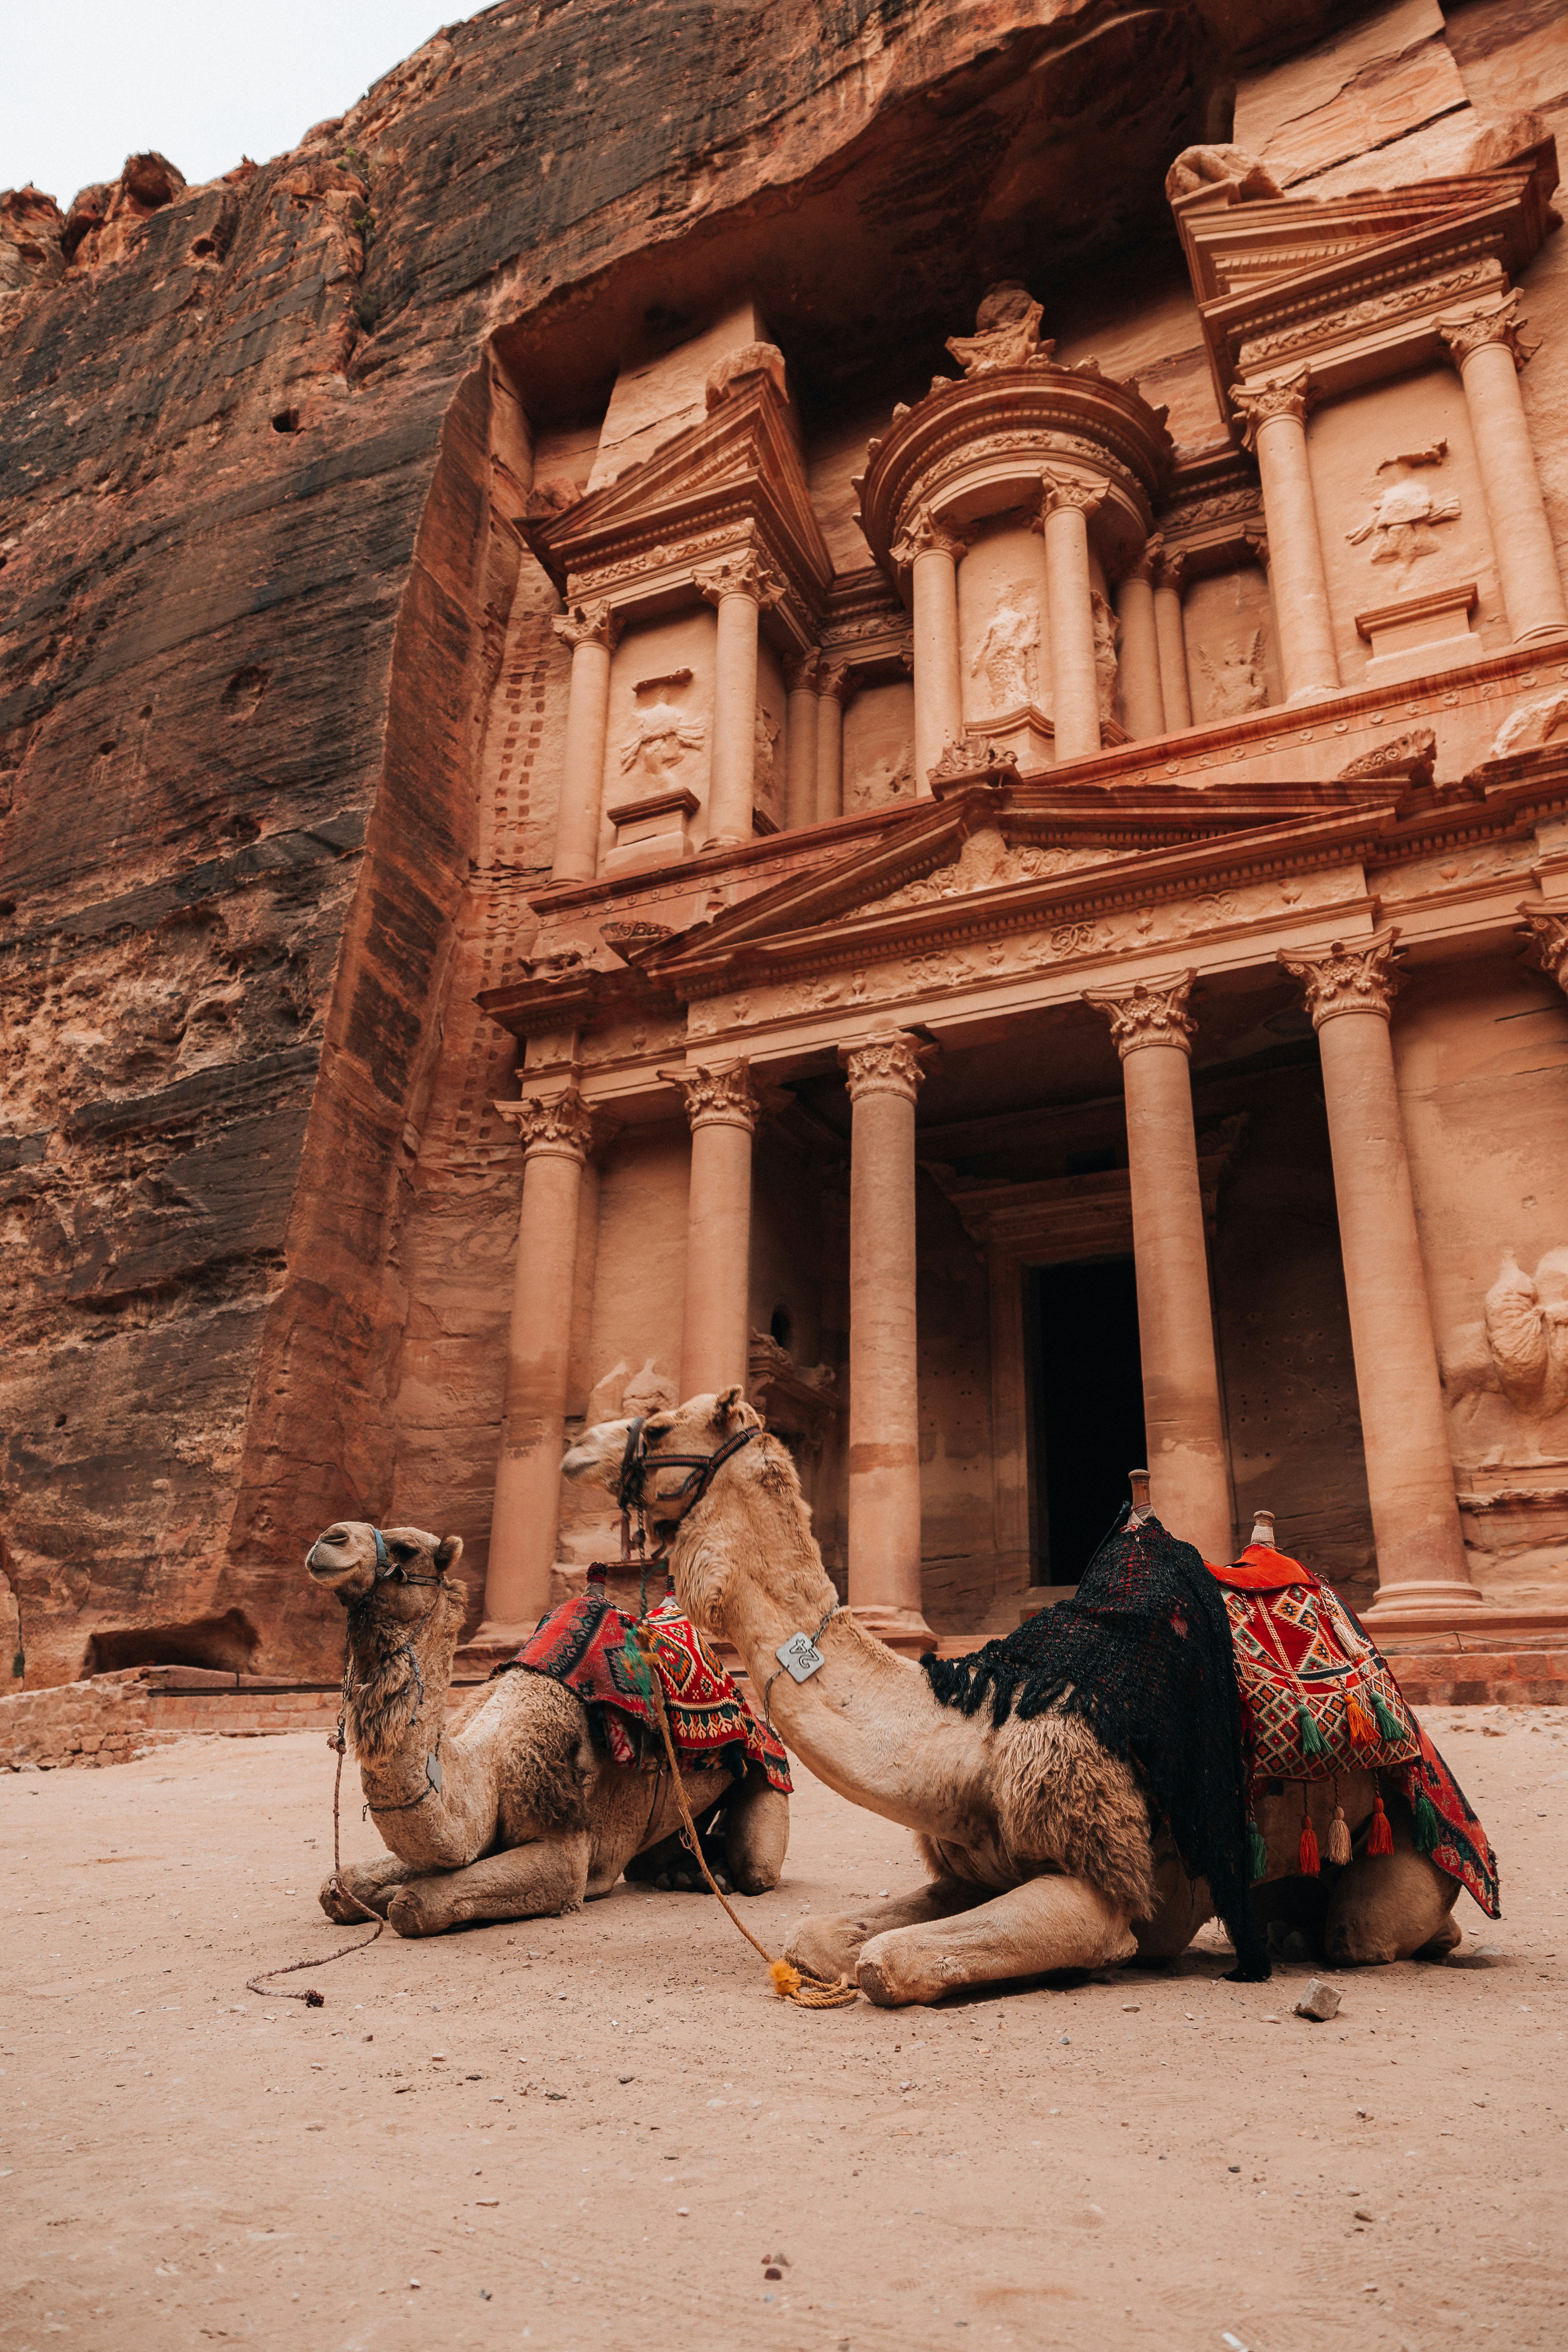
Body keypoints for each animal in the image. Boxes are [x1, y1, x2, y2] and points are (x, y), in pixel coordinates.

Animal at [304, 1522, 789, 1936]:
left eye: (406, 1549)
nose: (329, 1538)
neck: (485, 1764)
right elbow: (340, 1885)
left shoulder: (564, 1846)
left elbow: (414, 1904)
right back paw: (687, 1874)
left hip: (769, 1769)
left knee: (757, 1868)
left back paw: (718, 1875)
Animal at [564, 1391, 1463, 2006]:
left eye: (661, 1425)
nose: (574, 1450)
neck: (970, 1735)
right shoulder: (967, 1864)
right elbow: (817, 1935)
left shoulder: (1103, 1880)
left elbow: (891, 1962)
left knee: (1363, 1932)